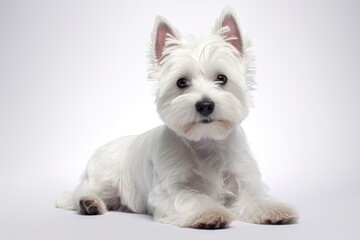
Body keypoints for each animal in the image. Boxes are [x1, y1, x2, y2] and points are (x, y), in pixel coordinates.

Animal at [56, 7, 298, 229]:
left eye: (222, 78)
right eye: (181, 82)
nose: (205, 105)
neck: (206, 142)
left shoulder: (243, 180)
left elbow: (255, 197)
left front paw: (275, 210)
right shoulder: (170, 190)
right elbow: (193, 198)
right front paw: (210, 214)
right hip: (105, 176)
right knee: (83, 191)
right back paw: (89, 203)